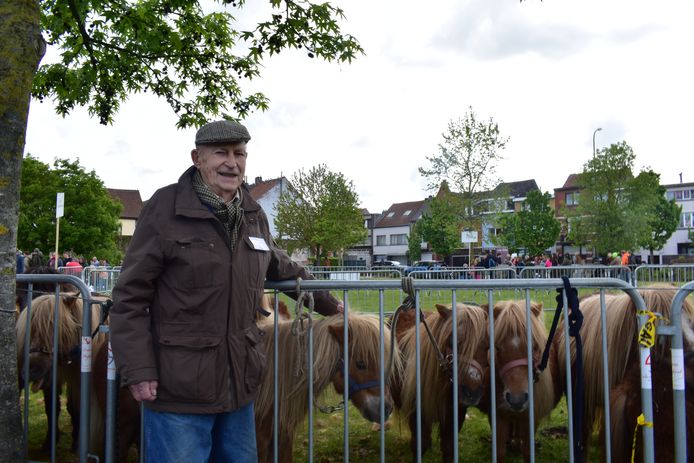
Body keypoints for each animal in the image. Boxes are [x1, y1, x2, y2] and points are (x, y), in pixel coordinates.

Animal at [15, 294, 104, 454]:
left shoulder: (78, 383)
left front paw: (77, 443)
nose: (29, 372)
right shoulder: (52, 381)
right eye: (28, 331)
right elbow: (52, 408)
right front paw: (50, 443)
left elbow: (76, 408)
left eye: (55, 327)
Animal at [396, 304, 490, 463]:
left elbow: (449, 448)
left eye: (487, 346)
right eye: (452, 343)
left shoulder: (455, 415)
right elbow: (419, 445)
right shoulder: (417, 415)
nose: (471, 392)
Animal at [484, 300, 560, 463]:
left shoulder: (531, 418)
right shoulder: (499, 415)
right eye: (497, 347)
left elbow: (527, 452)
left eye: (534, 346)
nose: (516, 399)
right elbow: (500, 452)